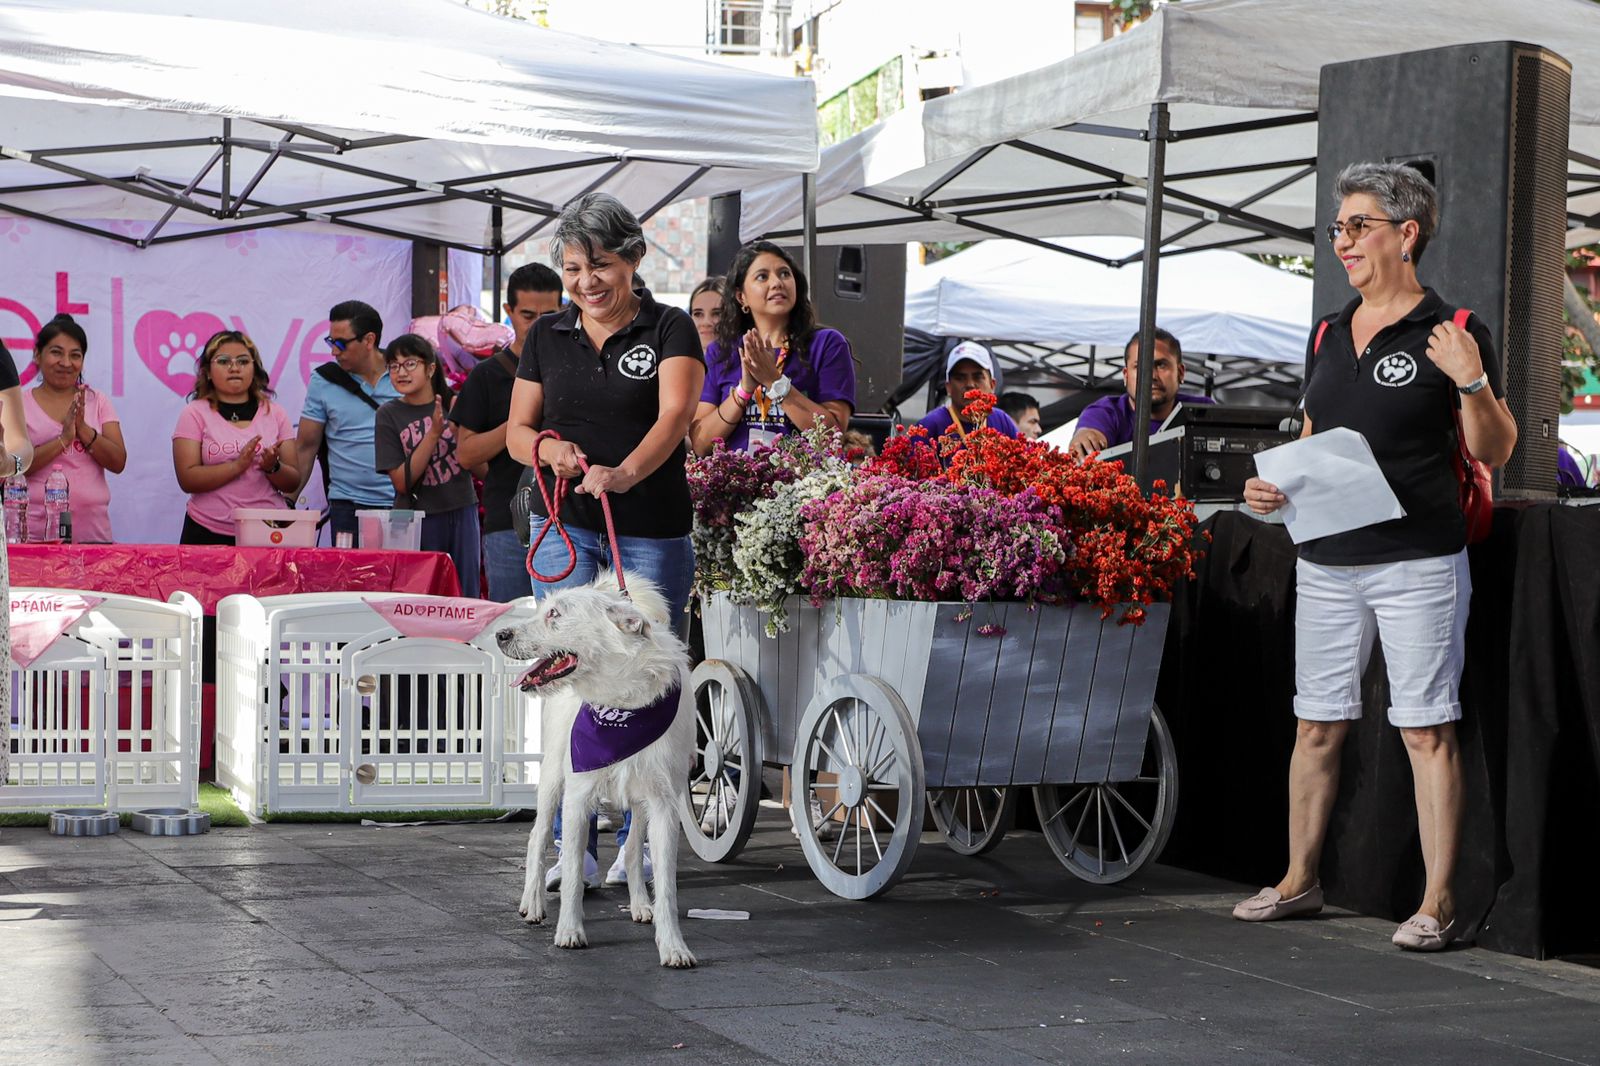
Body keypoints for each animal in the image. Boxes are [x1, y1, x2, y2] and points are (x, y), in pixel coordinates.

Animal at [492, 573, 694, 960]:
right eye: (543, 608)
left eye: (554, 614)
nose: (501, 635)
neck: (621, 703)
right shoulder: (577, 796)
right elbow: (572, 872)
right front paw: (570, 930)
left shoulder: (664, 804)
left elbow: (667, 885)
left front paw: (673, 946)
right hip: (552, 777)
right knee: (537, 836)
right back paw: (533, 903)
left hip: (640, 802)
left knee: (632, 851)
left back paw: (640, 904)